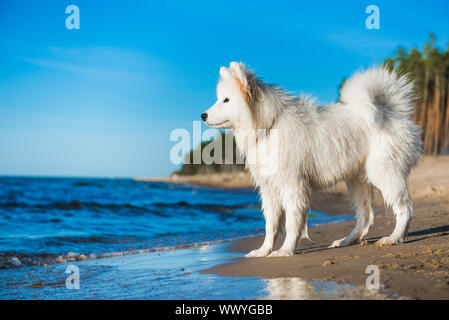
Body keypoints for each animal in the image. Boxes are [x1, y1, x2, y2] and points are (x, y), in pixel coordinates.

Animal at [201, 62, 422, 258]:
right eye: (219, 98)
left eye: (226, 100)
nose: (203, 115)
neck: (270, 125)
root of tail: (392, 110)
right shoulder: (269, 189)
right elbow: (271, 225)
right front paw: (263, 251)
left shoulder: (293, 186)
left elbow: (291, 223)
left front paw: (285, 250)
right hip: (357, 181)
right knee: (365, 216)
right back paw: (346, 241)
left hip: (384, 173)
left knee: (405, 208)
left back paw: (394, 237)